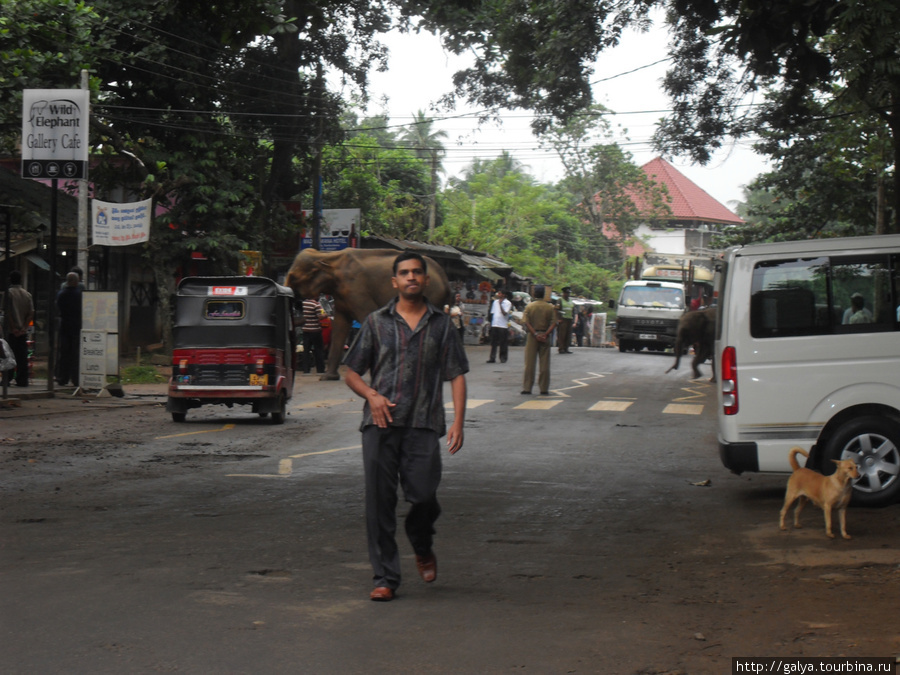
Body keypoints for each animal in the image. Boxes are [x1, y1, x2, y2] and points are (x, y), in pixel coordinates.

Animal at [284, 248, 454, 380]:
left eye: (294, 277)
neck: (328, 256)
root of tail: (446, 279)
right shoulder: (341, 295)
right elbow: (340, 325)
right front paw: (328, 378)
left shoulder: (356, 289)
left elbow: (367, 315)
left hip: (431, 294)